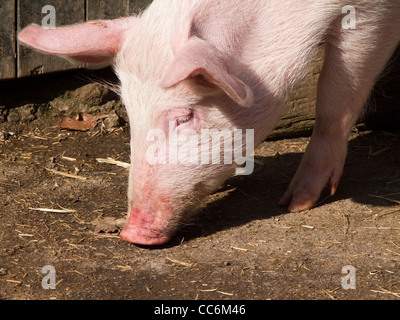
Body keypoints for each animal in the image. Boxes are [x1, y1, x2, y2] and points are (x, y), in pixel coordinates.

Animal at [18, 0, 400, 245]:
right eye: (130, 112)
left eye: (184, 116)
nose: (131, 234)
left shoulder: (371, 13)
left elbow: (337, 93)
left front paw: (296, 203)